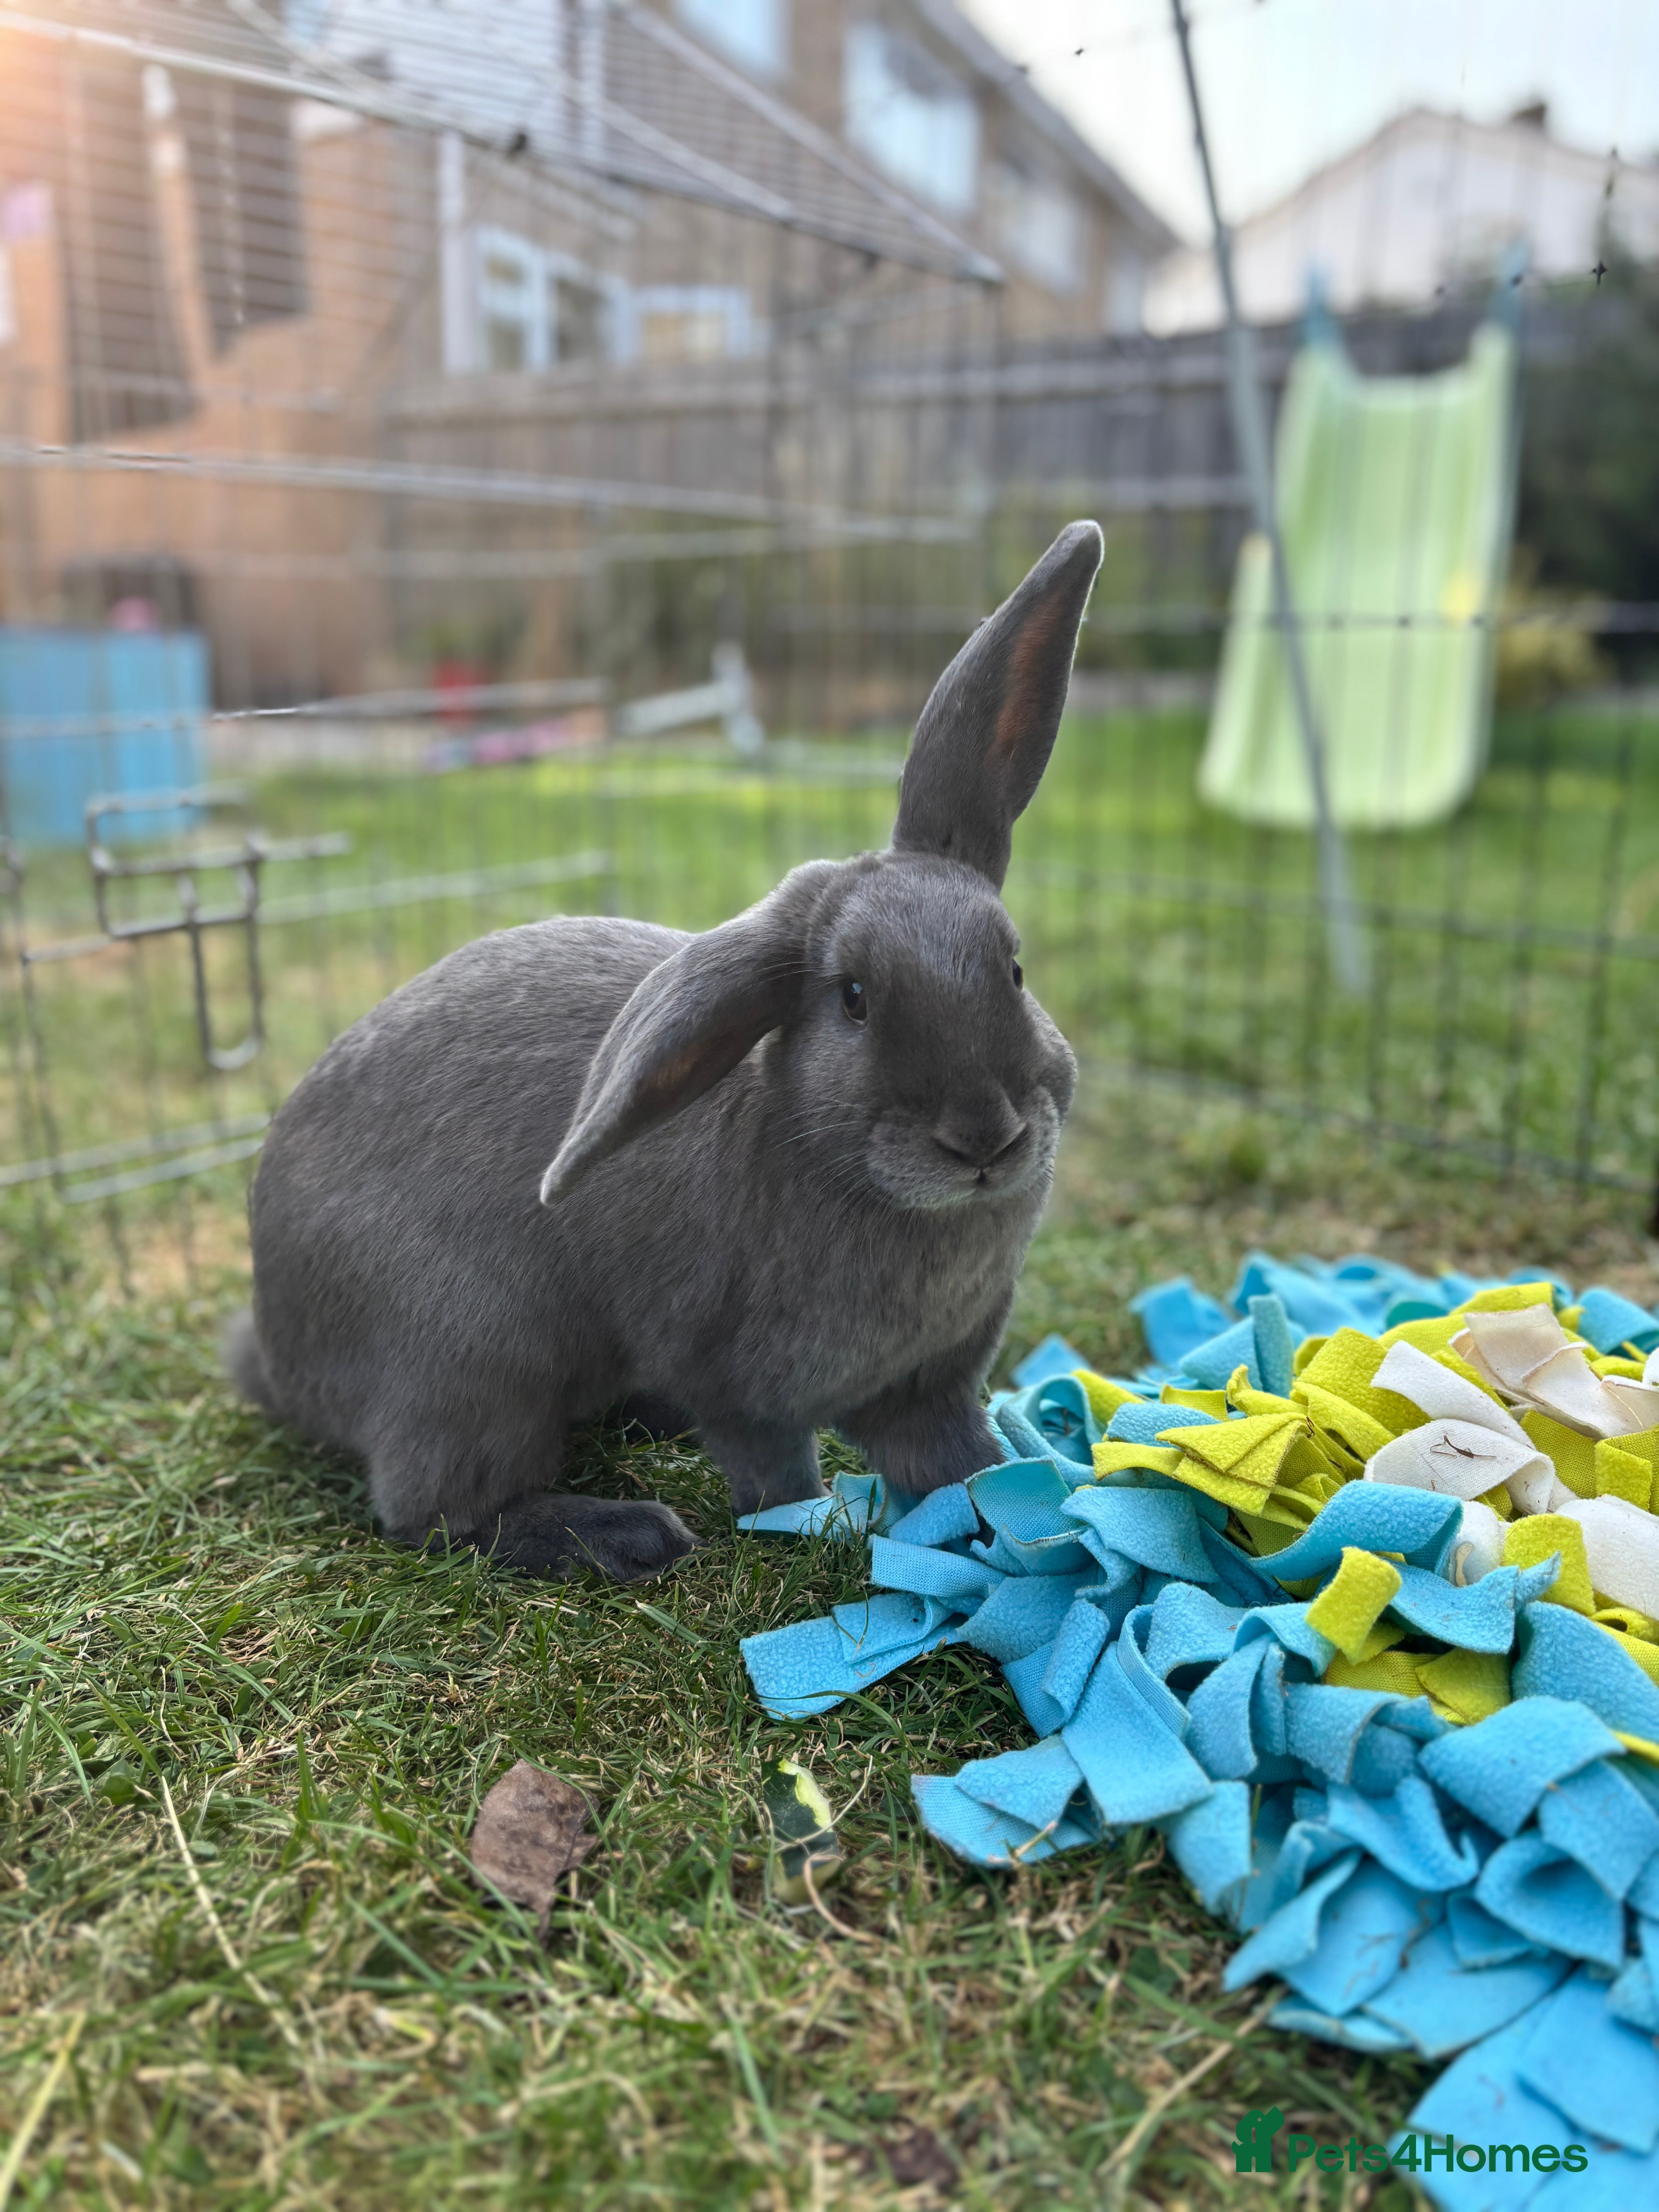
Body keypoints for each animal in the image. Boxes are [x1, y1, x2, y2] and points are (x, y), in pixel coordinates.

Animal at [227, 520, 1103, 1581]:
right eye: (853, 999)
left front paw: (1019, 1513)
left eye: (1013, 969)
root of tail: (279, 1350)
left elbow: (952, 1460)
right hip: (472, 1364)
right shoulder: (735, 1376)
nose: (985, 1138)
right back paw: (628, 1534)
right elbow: (775, 1472)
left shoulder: (928, 1384)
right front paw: (820, 1528)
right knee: (436, 1513)